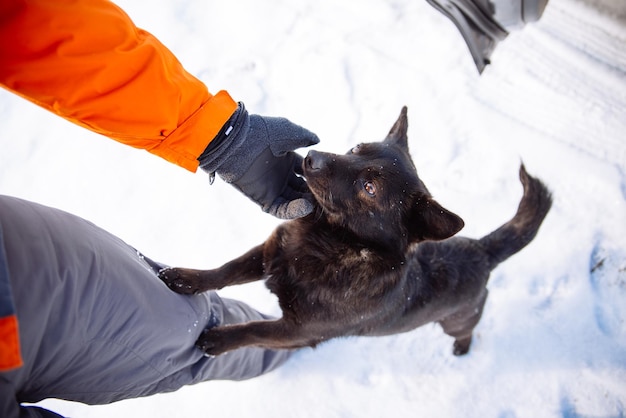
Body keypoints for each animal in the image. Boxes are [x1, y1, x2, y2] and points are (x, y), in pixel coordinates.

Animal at [158, 107, 548, 356]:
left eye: (369, 188)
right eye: (356, 149)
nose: (311, 157)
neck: (331, 244)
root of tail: (483, 250)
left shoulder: (297, 331)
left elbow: (254, 329)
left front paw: (218, 340)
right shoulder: (270, 254)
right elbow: (224, 271)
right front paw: (184, 278)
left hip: (457, 320)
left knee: (467, 330)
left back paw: (461, 349)